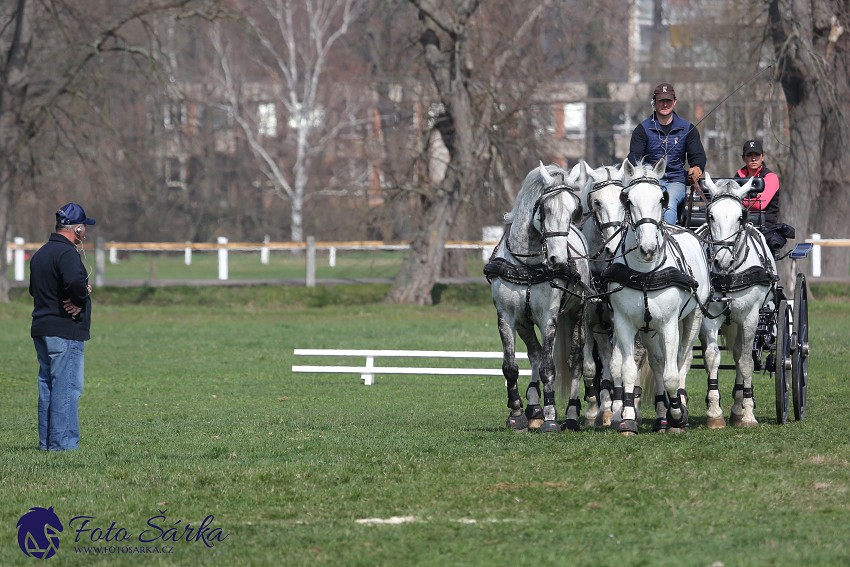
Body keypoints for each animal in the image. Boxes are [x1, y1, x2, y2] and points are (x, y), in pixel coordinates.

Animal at [484, 162, 588, 432]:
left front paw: (551, 418)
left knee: (574, 361)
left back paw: (571, 416)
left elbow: (549, 368)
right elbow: (511, 367)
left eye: (574, 211)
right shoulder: (507, 317)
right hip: (524, 322)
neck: (527, 264)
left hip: (578, 313)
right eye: (545, 208)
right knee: (535, 354)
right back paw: (534, 407)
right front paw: (517, 414)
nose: (558, 260)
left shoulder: (548, 318)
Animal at [604, 160, 708, 434]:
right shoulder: (624, 323)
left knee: (682, 361)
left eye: (662, 198)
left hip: (693, 318)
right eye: (628, 200)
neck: (645, 272)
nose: (649, 249)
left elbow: (672, 374)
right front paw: (628, 419)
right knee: (659, 361)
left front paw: (677, 415)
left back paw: (678, 410)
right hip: (648, 330)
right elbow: (628, 370)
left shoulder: (669, 324)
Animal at [696, 175, 776, 428]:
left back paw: (740, 407)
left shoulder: (750, 317)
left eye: (741, 216)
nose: (721, 260)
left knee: (743, 355)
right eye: (711, 215)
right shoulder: (709, 317)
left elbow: (746, 362)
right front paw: (714, 412)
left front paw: (748, 413)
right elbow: (712, 358)